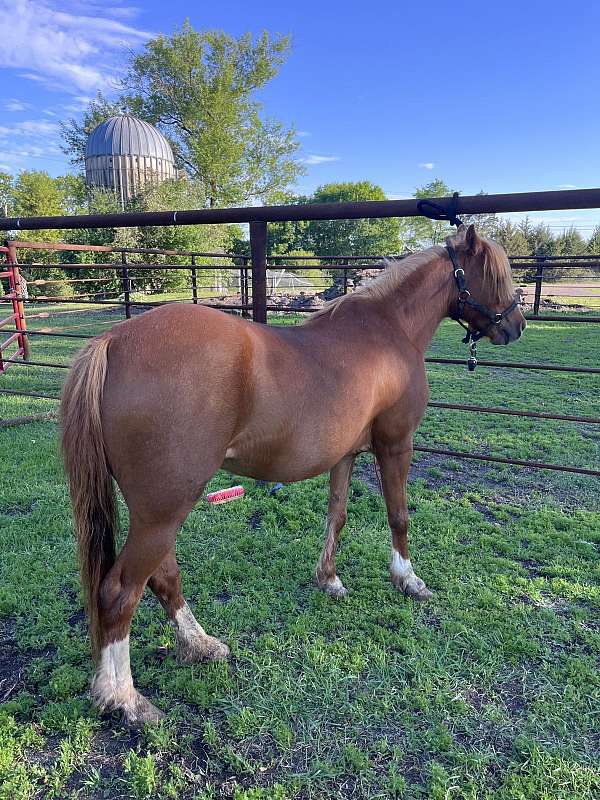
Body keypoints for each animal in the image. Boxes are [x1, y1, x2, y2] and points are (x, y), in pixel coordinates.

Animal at [61, 224, 525, 725]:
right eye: (495, 274)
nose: (517, 325)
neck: (389, 329)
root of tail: (114, 339)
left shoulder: (345, 455)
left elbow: (336, 517)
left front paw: (329, 580)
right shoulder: (395, 445)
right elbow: (398, 516)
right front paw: (408, 579)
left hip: (156, 510)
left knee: (162, 576)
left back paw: (200, 645)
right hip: (164, 509)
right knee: (120, 591)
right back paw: (124, 697)